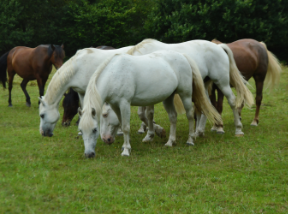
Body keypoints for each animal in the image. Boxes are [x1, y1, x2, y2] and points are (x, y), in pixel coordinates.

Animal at [77, 50, 222, 157]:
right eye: (81, 131)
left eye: (94, 129)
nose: (89, 154)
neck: (115, 74)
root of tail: (183, 56)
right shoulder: (115, 105)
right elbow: (121, 123)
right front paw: (124, 146)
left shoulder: (125, 103)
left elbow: (126, 127)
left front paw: (126, 151)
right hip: (168, 98)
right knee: (173, 117)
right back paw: (170, 142)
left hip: (185, 94)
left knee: (190, 115)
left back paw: (190, 140)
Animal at [126, 39, 254, 136]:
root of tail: (218, 47)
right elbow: (143, 114)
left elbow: (148, 114)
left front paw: (156, 131)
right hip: (204, 84)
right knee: (206, 104)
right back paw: (199, 132)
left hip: (222, 82)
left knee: (232, 101)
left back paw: (238, 129)